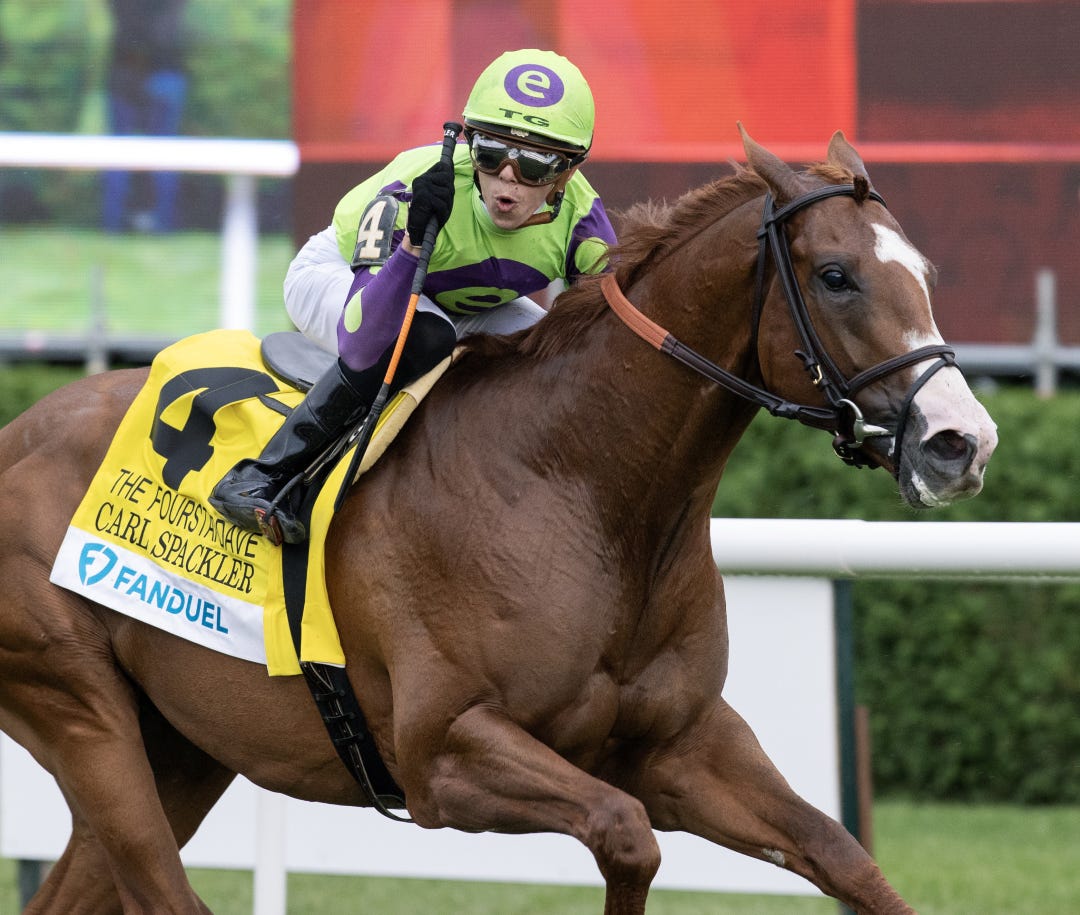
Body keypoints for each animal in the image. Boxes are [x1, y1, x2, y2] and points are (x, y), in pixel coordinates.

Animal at [0, 128, 996, 914]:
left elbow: (843, 855)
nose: (962, 441)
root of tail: (19, 431)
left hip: (183, 744)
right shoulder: (444, 754)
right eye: (836, 276)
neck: (583, 488)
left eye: (924, 273)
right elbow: (627, 833)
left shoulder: (682, 743)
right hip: (79, 709)